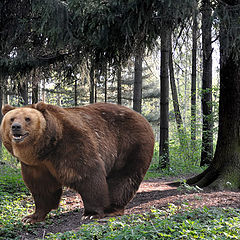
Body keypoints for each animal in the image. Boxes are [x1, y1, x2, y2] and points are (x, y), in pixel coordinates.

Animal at [0, 102, 155, 224]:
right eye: (11, 119)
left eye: (27, 119)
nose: (16, 127)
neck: (46, 149)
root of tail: (142, 117)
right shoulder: (36, 165)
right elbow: (42, 188)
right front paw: (31, 217)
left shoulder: (71, 144)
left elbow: (88, 176)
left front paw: (91, 214)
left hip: (130, 144)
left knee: (123, 178)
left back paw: (113, 209)